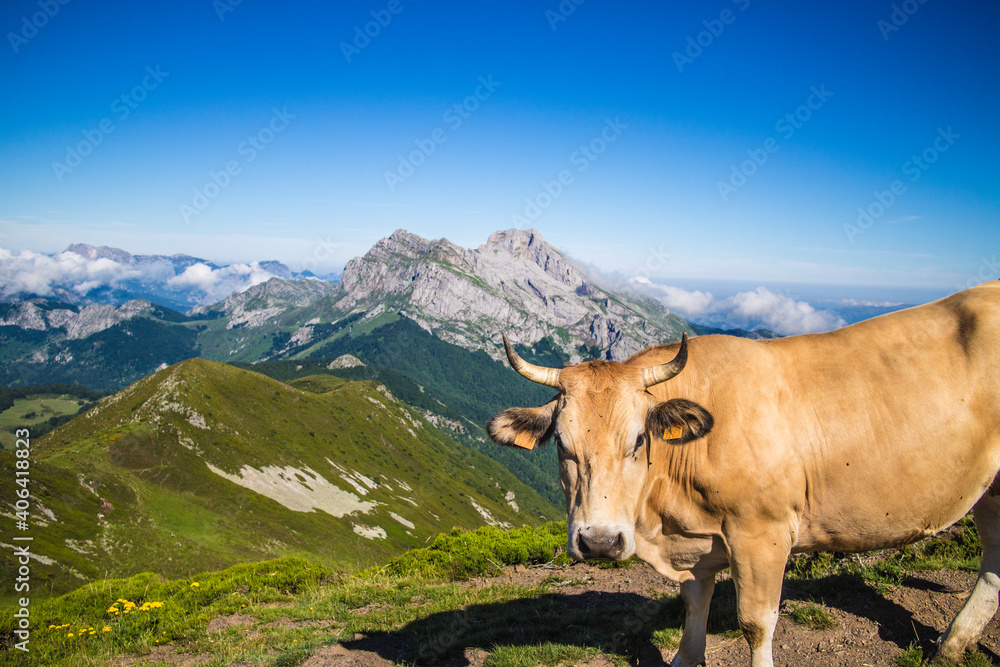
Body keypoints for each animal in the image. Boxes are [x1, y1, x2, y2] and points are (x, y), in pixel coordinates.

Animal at [488, 284, 1000, 667]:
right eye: (561, 443)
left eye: (638, 440)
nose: (598, 543)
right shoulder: (696, 541)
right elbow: (694, 602)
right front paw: (685, 659)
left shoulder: (762, 533)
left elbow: (756, 623)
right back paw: (952, 645)